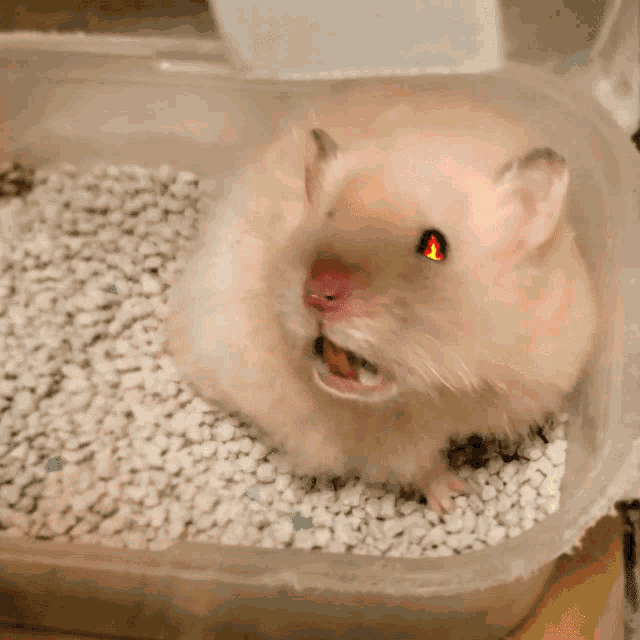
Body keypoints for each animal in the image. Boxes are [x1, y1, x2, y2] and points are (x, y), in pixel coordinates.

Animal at [167, 85, 597, 515]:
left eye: (435, 246)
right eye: (326, 217)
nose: (316, 295)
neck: (443, 393)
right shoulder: (388, 445)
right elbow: (422, 467)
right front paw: (455, 499)